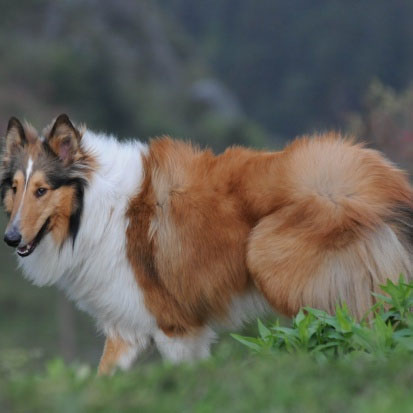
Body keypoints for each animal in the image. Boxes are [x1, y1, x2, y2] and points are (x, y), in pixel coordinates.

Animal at [0, 112, 412, 374]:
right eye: (15, 188)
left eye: (42, 190)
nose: (10, 237)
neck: (98, 209)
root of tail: (382, 185)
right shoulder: (128, 327)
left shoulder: (176, 328)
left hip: (274, 261)